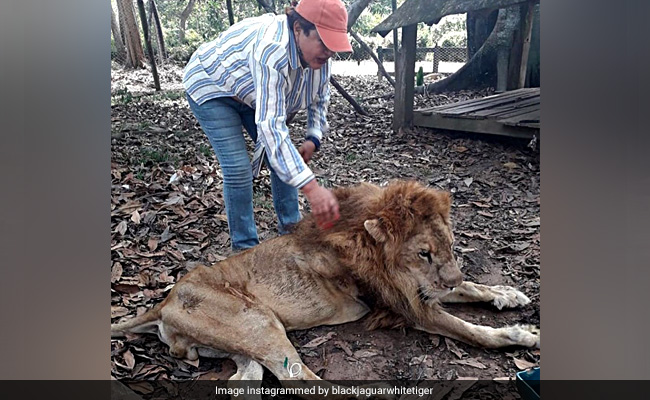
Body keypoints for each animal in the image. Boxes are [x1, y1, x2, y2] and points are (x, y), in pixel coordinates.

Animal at [111, 180, 539, 398]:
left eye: (450, 246)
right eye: (424, 253)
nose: (448, 277)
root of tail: (164, 301)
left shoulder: (415, 290)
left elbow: (472, 287)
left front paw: (509, 296)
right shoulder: (404, 303)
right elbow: (470, 329)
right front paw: (519, 335)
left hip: (241, 345)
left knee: (243, 382)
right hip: (258, 322)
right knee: (298, 379)